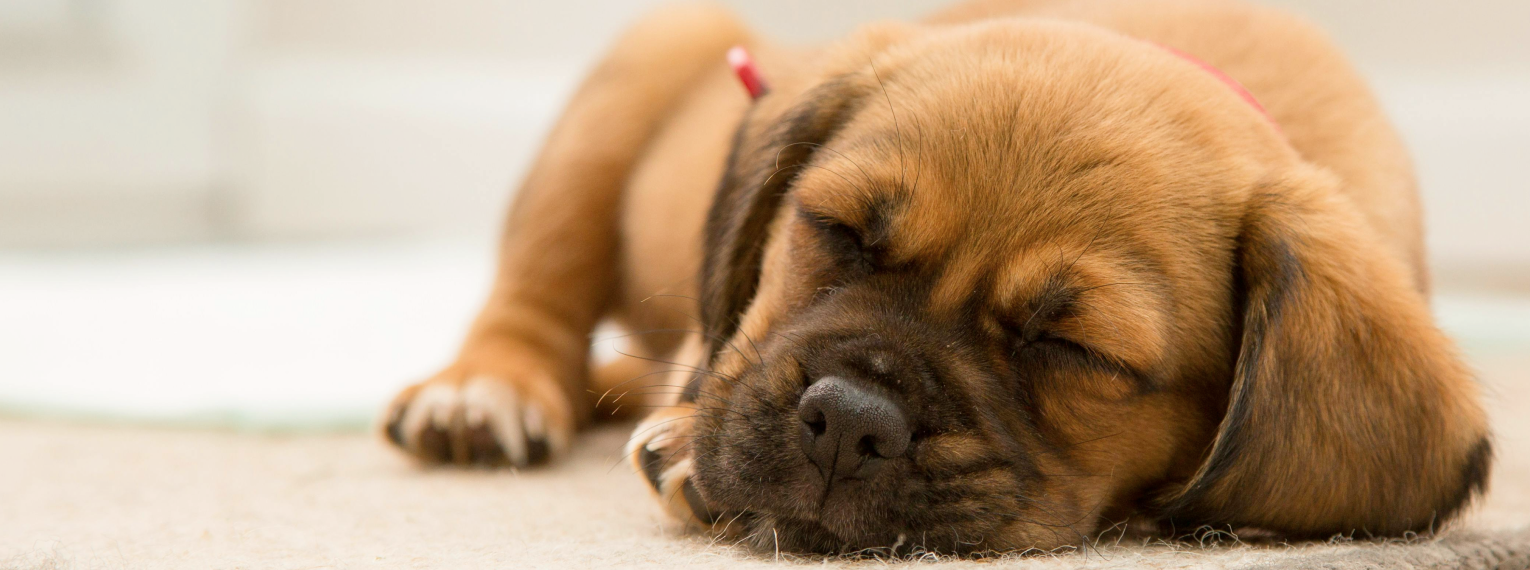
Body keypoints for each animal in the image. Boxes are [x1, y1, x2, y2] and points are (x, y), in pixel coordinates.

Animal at [382, 0, 1493, 553]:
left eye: (1073, 347)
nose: (849, 422)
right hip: (634, 83)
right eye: (834, 231)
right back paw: (484, 392)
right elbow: (720, 344)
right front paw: (688, 436)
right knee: (536, 295)